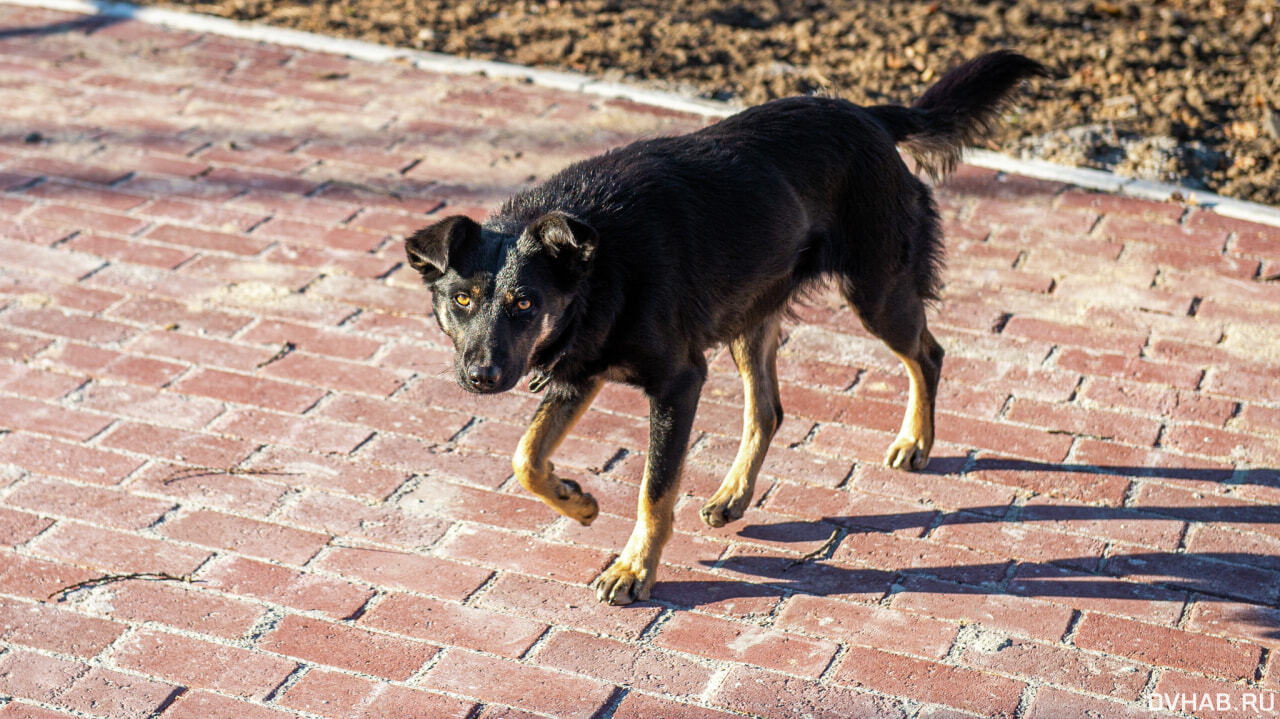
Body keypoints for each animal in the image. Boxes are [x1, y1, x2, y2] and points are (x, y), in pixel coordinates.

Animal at [404, 51, 1044, 603]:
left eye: (524, 304)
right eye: (462, 299)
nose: (481, 377)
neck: (600, 259)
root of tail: (867, 115)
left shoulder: (677, 382)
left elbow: (654, 490)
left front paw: (635, 569)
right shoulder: (579, 367)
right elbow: (527, 458)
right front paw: (576, 500)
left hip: (876, 293)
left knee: (927, 355)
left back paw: (915, 441)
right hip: (751, 316)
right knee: (768, 410)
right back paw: (734, 494)